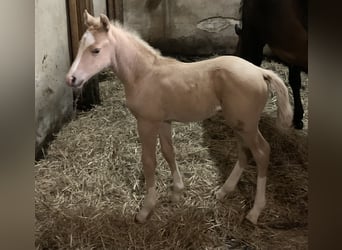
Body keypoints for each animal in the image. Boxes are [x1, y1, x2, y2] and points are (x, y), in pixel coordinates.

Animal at [67, 10, 294, 225]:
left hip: (246, 124)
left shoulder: (147, 122)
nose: (71, 79)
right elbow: (169, 152)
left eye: (96, 50)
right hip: (239, 123)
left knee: (262, 152)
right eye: (80, 46)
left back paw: (255, 211)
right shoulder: (163, 121)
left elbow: (149, 161)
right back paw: (223, 191)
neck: (144, 74)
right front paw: (177, 191)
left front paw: (146, 209)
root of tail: (260, 71)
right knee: (244, 152)